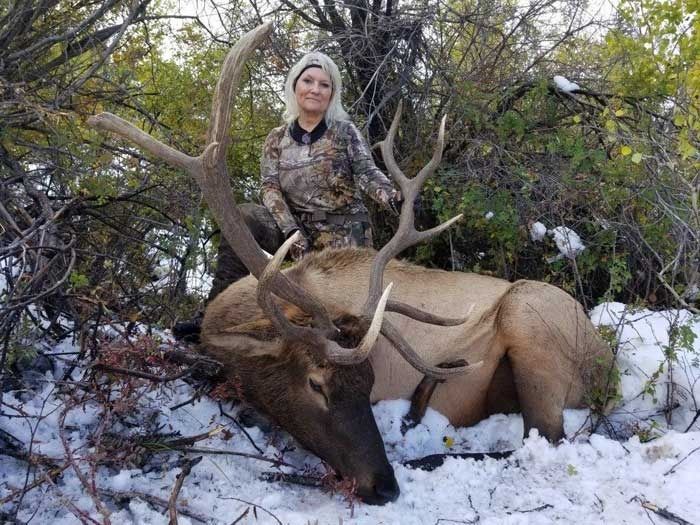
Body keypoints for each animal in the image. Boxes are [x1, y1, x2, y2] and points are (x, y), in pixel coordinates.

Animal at [88, 22, 617, 506]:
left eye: (370, 384)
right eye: (316, 384)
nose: (383, 486)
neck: (228, 319)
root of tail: (608, 364)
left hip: (531, 319)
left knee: (543, 436)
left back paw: (425, 453)